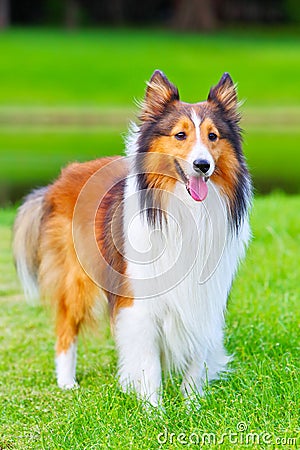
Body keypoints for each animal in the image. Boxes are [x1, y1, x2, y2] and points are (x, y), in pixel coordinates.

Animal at [12, 71, 252, 408]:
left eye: (213, 136)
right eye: (180, 135)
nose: (202, 165)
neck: (183, 208)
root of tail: (62, 177)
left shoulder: (205, 297)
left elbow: (197, 356)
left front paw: (192, 406)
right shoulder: (139, 302)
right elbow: (148, 363)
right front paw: (153, 410)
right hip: (76, 281)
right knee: (65, 331)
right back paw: (67, 383)